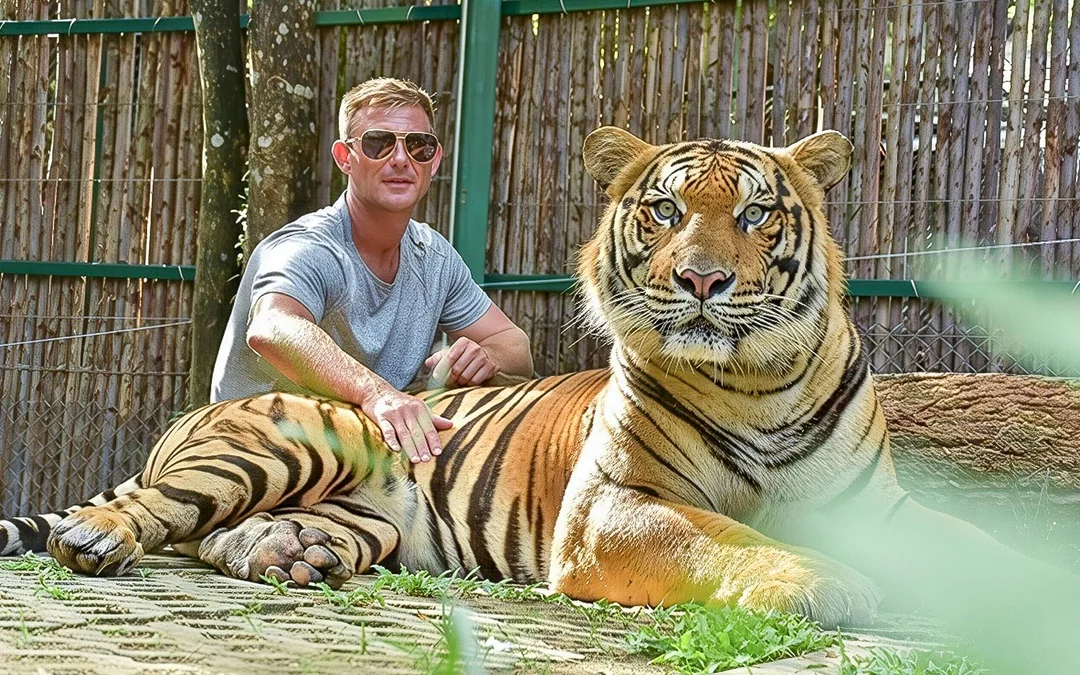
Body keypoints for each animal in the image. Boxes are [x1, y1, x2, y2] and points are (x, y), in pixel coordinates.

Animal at [1, 126, 1075, 635]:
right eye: (665, 209)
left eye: (758, 213)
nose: (702, 280)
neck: (759, 380)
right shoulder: (614, 507)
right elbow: (720, 535)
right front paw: (823, 580)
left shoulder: (879, 506)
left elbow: (983, 546)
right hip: (284, 441)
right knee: (152, 511)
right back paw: (103, 539)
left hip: (360, 518)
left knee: (221, 541)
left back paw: (285, 559)